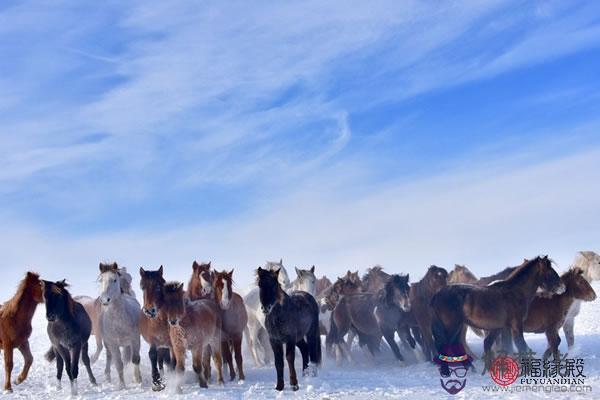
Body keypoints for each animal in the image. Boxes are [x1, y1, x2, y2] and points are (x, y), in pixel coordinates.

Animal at [428, 256, 564, 372]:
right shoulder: (515, 326)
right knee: (445, 345)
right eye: (550, 272)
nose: (562, 288)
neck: (515, 292)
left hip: (459, 325)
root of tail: (437, 294)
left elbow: (490, 344)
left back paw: (470, 368)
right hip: (451, 325)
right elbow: (521, 346)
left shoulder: (498, 328)